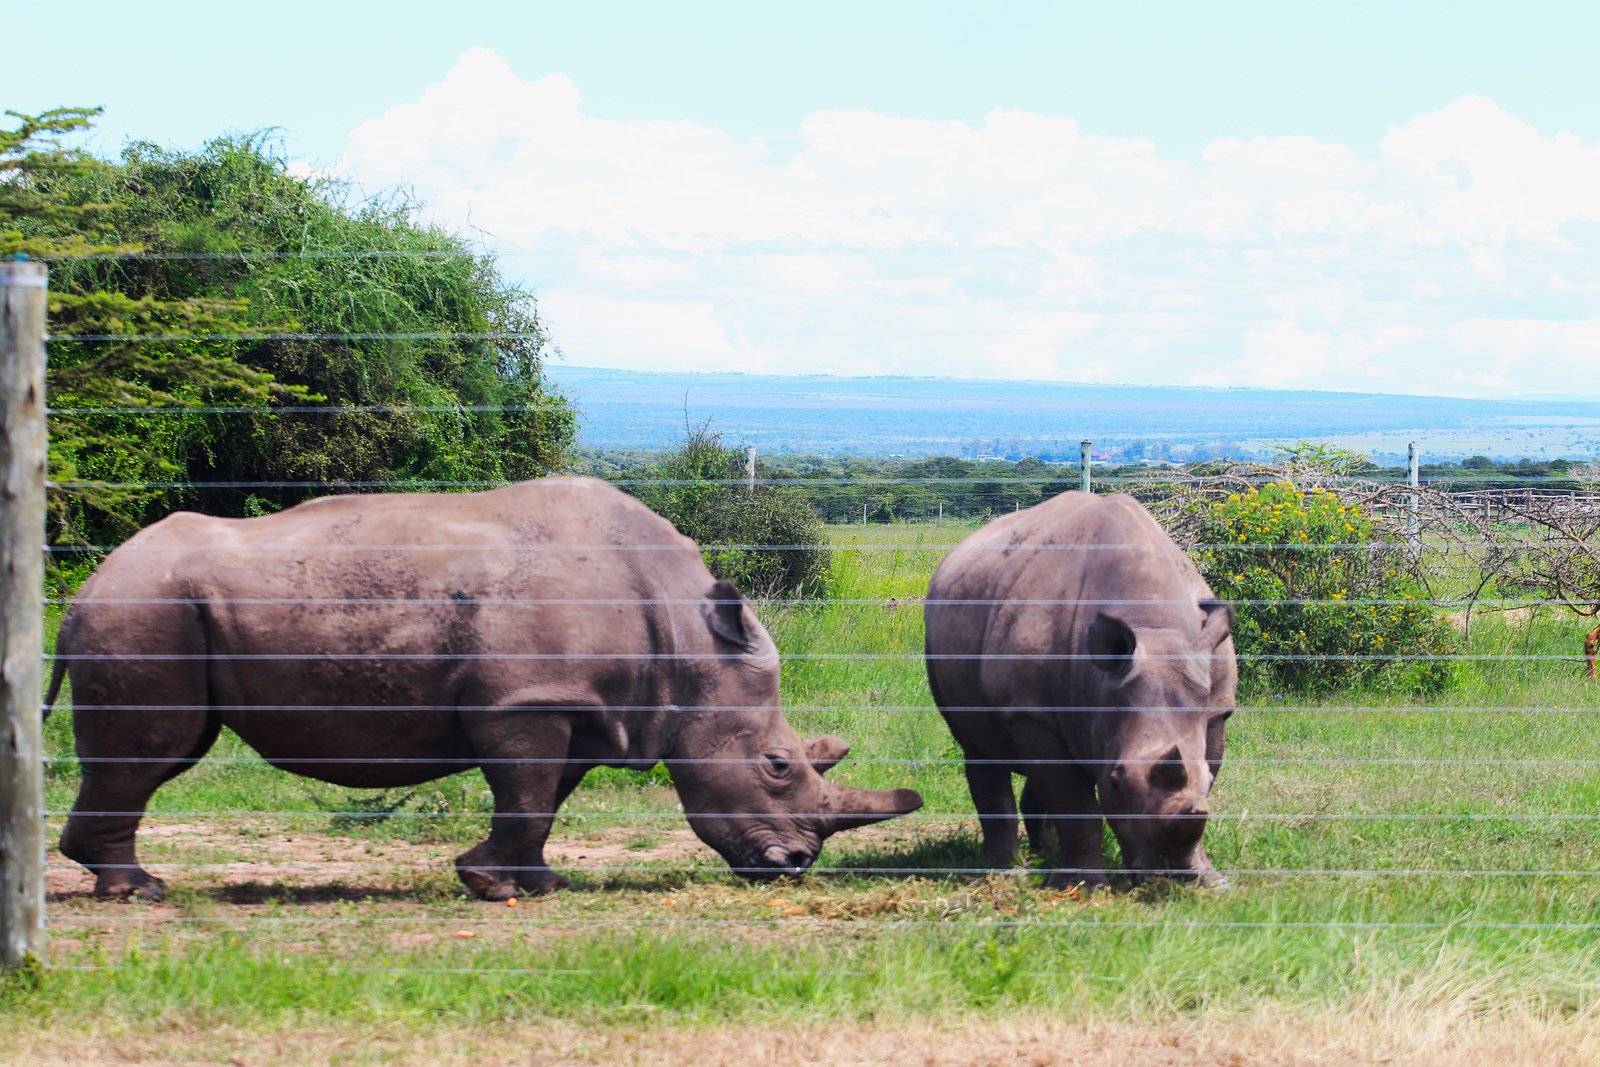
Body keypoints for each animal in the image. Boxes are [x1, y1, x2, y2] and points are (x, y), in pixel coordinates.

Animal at [47, 477, 922, 900]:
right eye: (777, 765)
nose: (795, 865)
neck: (687, 642)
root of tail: (85, 585)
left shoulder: (576, 704)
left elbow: (543, 798)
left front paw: (537, 882)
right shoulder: (526, 700)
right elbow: (527, 794)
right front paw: (490, 886)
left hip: (151, 604)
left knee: (164, 753)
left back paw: (124, 881)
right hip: (145, 605)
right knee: (153, 751)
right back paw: (141, 891)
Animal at [924, 492, 1235, 889]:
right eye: (1115, 784)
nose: (1162, 878)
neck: (1151, 622)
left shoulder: (1216, 707)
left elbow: (1203, 773)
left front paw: (1209, 880)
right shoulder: (1032, 711)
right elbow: (1075, 803)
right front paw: (1081, 886)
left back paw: (1043, 852)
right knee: (979, 747)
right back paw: (1001, 867)